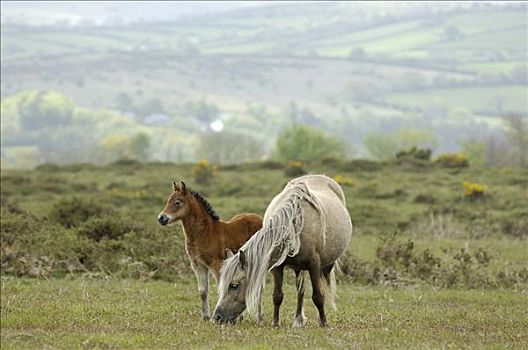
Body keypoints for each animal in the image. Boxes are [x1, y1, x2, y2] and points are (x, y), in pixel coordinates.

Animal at [158, 182, 262, 322]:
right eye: (168, 201)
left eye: (177, 202)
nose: (161, 218)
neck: (204, 233)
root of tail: (259, 218)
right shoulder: (197, 265)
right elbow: (202, 291)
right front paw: (206, 316)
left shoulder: (216, 264)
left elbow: (222, 287)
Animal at [212, 176, 352, 326]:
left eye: (234, 285)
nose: (217, 317)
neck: (293, 226)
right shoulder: (277, 267)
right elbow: (277, 296)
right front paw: (275, 323)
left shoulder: (314, 265)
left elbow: (318, 297)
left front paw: (324, 323)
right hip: (298, 268)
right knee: (300, 290)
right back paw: (298, 320)